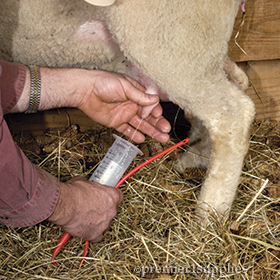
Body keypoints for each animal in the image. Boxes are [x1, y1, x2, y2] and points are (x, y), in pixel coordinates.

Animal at [0, 1, 256, 222]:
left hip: (171, 39)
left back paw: (209, 213)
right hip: (197, 46)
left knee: (232, 114)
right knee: (237, 81)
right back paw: (193, 159)